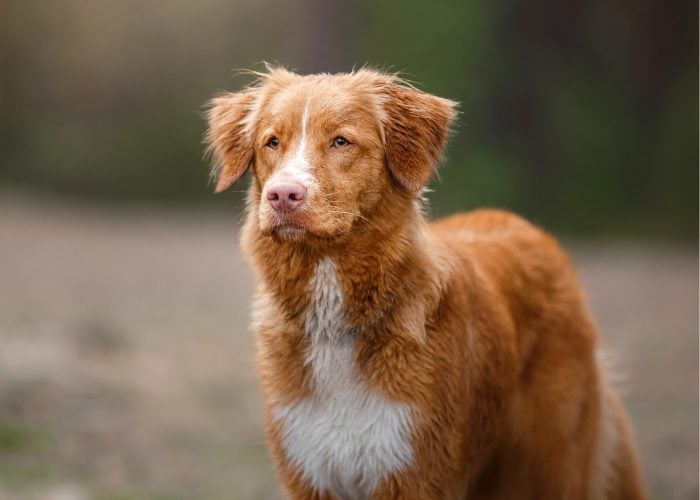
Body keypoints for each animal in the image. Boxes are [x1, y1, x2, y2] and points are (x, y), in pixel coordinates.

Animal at [205, 67, 648, 500]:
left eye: (341, 141)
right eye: (272, 142)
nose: (282, 195)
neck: (334, 321)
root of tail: (526, 226)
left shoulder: (416, 470)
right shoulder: (310, 472)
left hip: (551, 465)